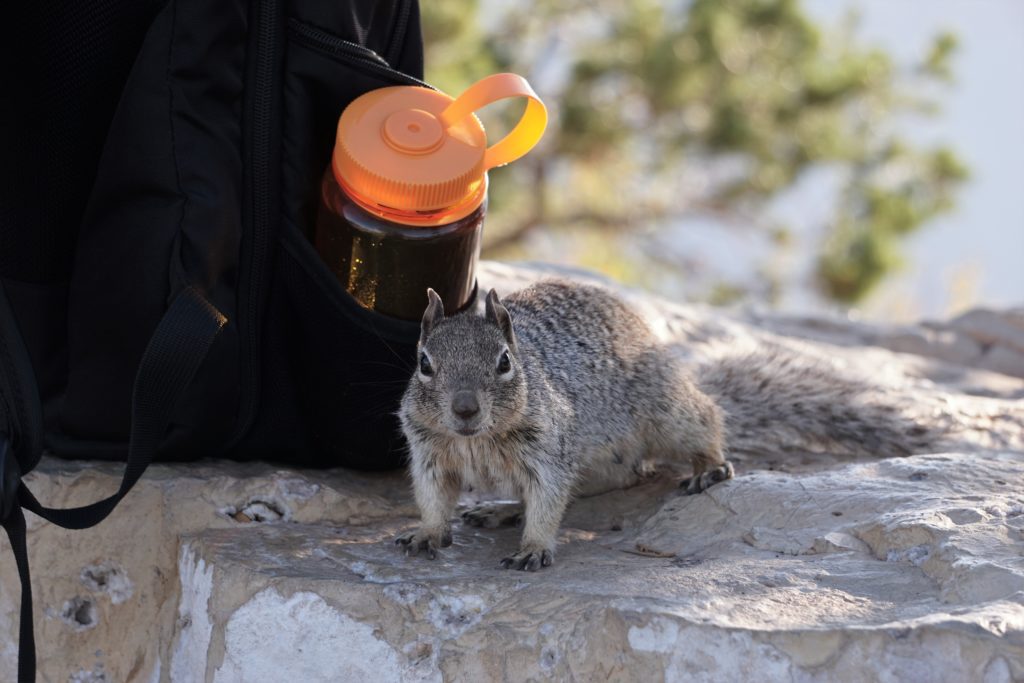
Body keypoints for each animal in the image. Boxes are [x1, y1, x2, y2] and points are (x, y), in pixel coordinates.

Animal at [393, 278, 937, 573]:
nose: (465, 409)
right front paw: (426, 533)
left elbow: (548, 502)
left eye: (505, 362)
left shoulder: (548, 450)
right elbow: (433, 498)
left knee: (707, 423)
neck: (477, 441)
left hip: (668, 413)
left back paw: (709, 468)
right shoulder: (428, 453)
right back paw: (501, 510)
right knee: (602, 482)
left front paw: (533, 548)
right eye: (424, 363)